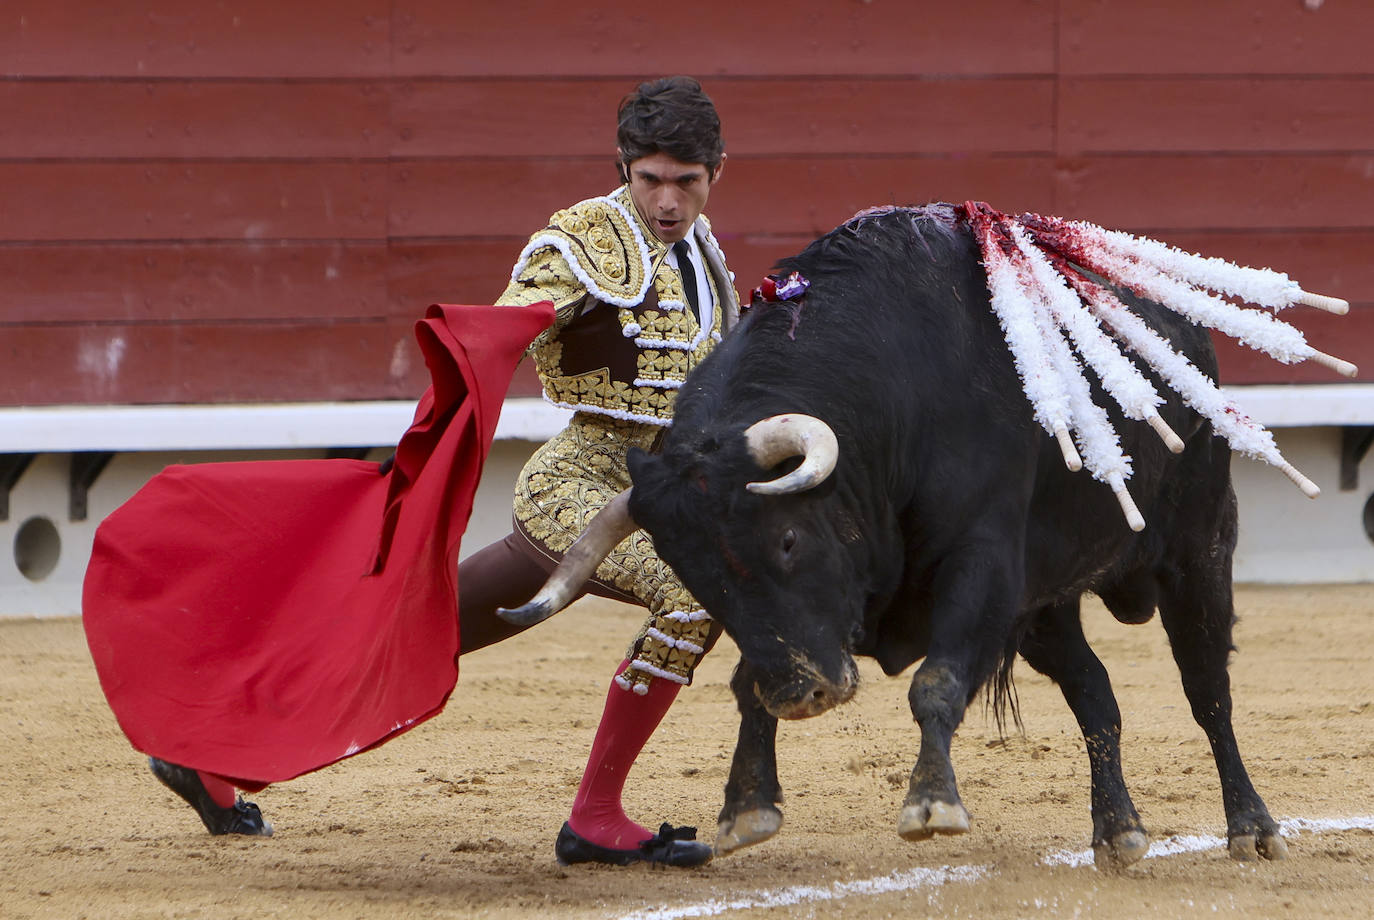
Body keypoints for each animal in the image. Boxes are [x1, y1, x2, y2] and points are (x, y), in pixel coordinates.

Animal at [502, 200, 1286, 867]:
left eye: (787, 541)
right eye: (693, 571)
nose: (804, 694)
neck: (887, 394)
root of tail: (1180, 328)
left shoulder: (981, 562)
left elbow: (935, 683)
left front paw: (932, 806)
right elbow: (748, 679)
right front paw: (746, 809)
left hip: (1199, 548)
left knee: (1208, 689)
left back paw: (1253, 828)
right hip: (1047, 605)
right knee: (1096, 694)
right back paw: (1118, 832)